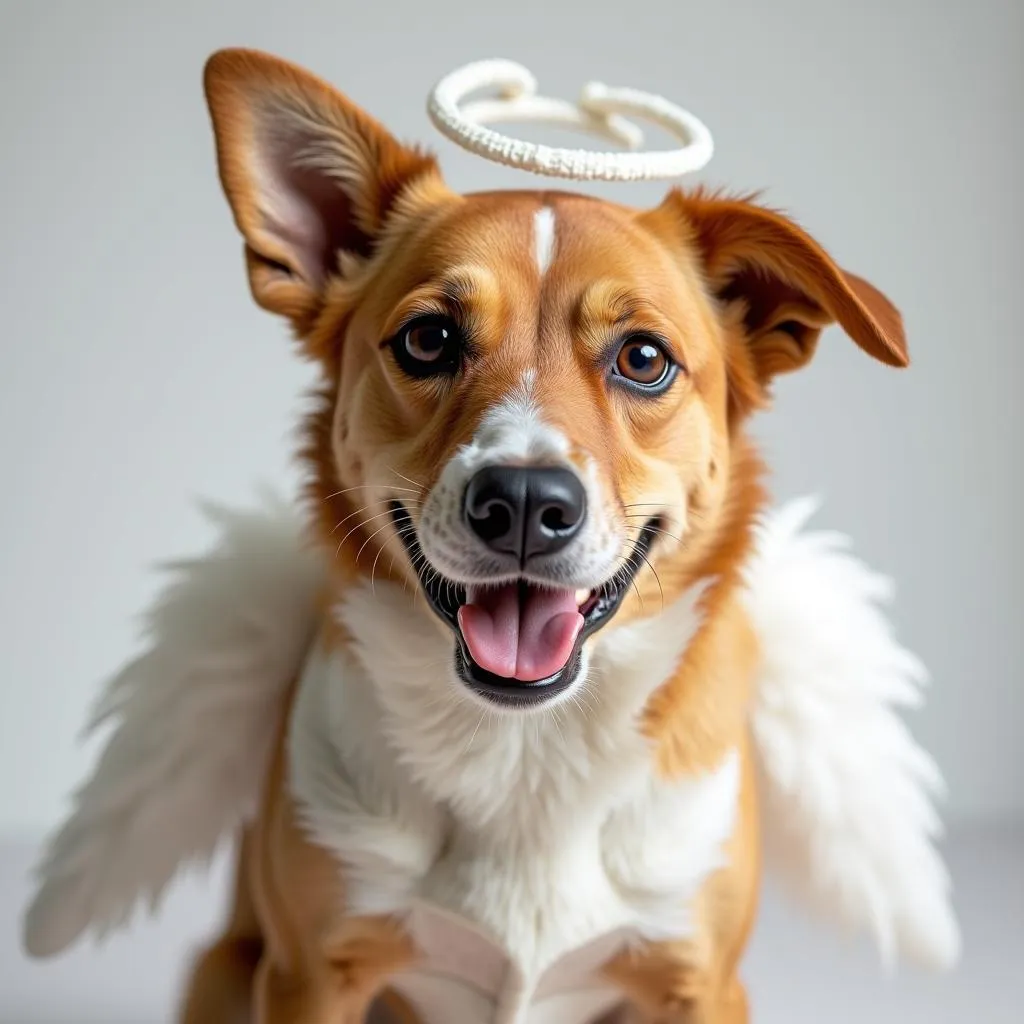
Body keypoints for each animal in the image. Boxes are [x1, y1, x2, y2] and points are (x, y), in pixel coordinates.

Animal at [22, 48, 958, 1024]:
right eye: (429, 338)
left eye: (643, 358)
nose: (523, 501)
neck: (526, 753)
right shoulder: (309, 975)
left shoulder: (698, 983)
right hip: (222, 969)